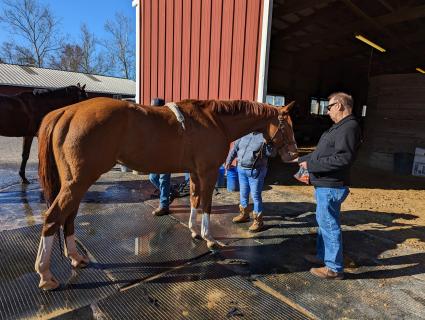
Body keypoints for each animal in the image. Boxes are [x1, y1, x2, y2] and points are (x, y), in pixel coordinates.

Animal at [36, 98, 298, 290]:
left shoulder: (194, 172)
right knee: (53, 217)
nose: (294, 155)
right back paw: (45, 274)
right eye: (286, 125)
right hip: (77, 182)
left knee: (69, 217)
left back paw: (75, 257)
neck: (215, 121)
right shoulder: (208, 172)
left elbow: (194, 200)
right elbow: (207, 204)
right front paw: (209, 237)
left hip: (75, 183)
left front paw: (194, 231)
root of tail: (67, 112)